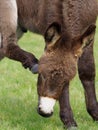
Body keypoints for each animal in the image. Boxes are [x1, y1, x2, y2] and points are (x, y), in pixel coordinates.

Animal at [0, 0, 98, 129]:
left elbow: (88, 70)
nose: (45, 112)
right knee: (8, 45)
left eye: (67, 80)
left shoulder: (88, 30)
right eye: (41, 75)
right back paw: (32, 63)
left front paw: (95, 113)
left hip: (19, 26)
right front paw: (69, 121)